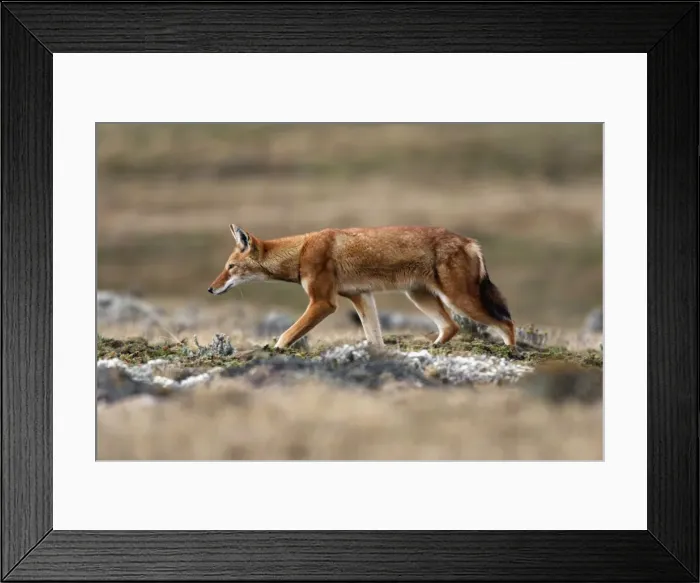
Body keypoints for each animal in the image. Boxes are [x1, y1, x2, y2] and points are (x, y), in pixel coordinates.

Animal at [208, 224, 516, 350]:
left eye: (230, 267)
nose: (210, 289)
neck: (301, 251)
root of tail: (470, 241)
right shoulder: (362, 297)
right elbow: (375, 338)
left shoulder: (323, 303)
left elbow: (286, 335)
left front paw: (274, 350)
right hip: (420, 297)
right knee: (451, 327)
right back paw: (434, 348)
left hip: (459, 300)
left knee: (507, 323)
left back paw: (512, 352)